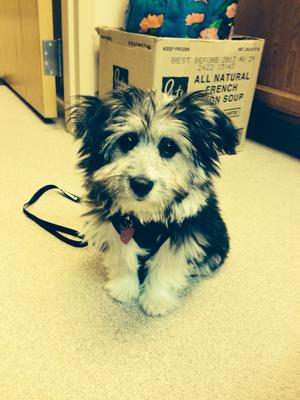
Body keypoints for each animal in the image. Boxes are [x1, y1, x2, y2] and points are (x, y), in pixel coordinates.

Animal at [71, 87, 239, 316]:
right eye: (127, 141)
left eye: (168, 146)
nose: (141, 184)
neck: (144, 220)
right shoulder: (115, 230)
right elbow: (123, 258)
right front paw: (124, 289)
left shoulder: (181, 235)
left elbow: (165, 268)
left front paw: (156, 300)